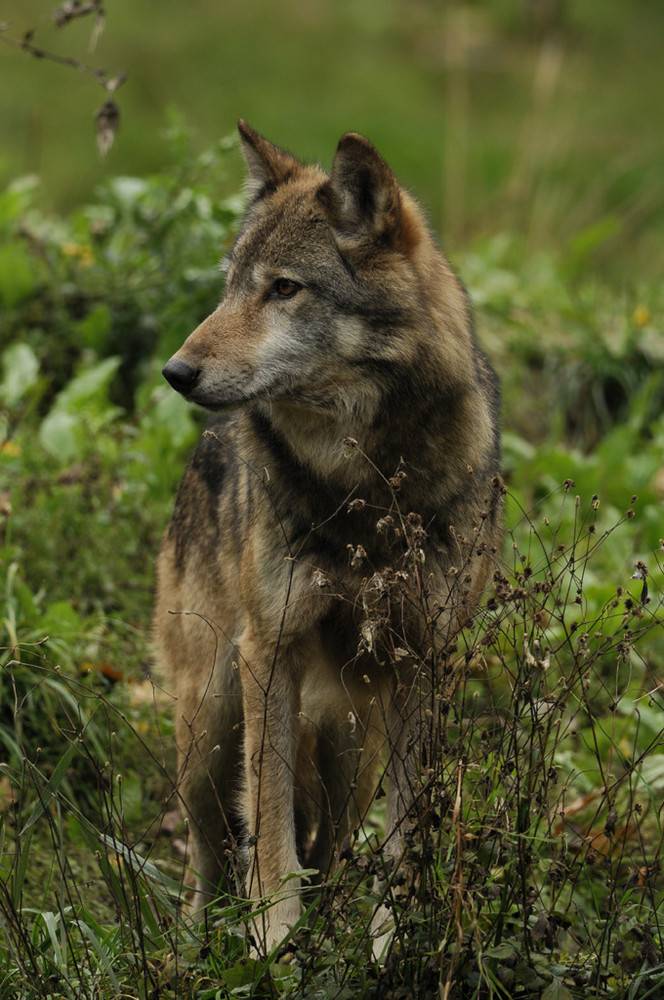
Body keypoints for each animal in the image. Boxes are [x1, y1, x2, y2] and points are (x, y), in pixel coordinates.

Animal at [153, 119, 500, 952]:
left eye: (284, 288)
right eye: (230, 285)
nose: (175, 372)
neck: (362, 485)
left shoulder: (424, 666)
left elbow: (406, 835)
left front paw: (395, 946)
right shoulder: (269, 650)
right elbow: (269, 825)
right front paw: (272, 945)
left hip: (351, 741)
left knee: (335, 847)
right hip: (209, 726)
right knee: (210, 851)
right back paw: (197, 943)